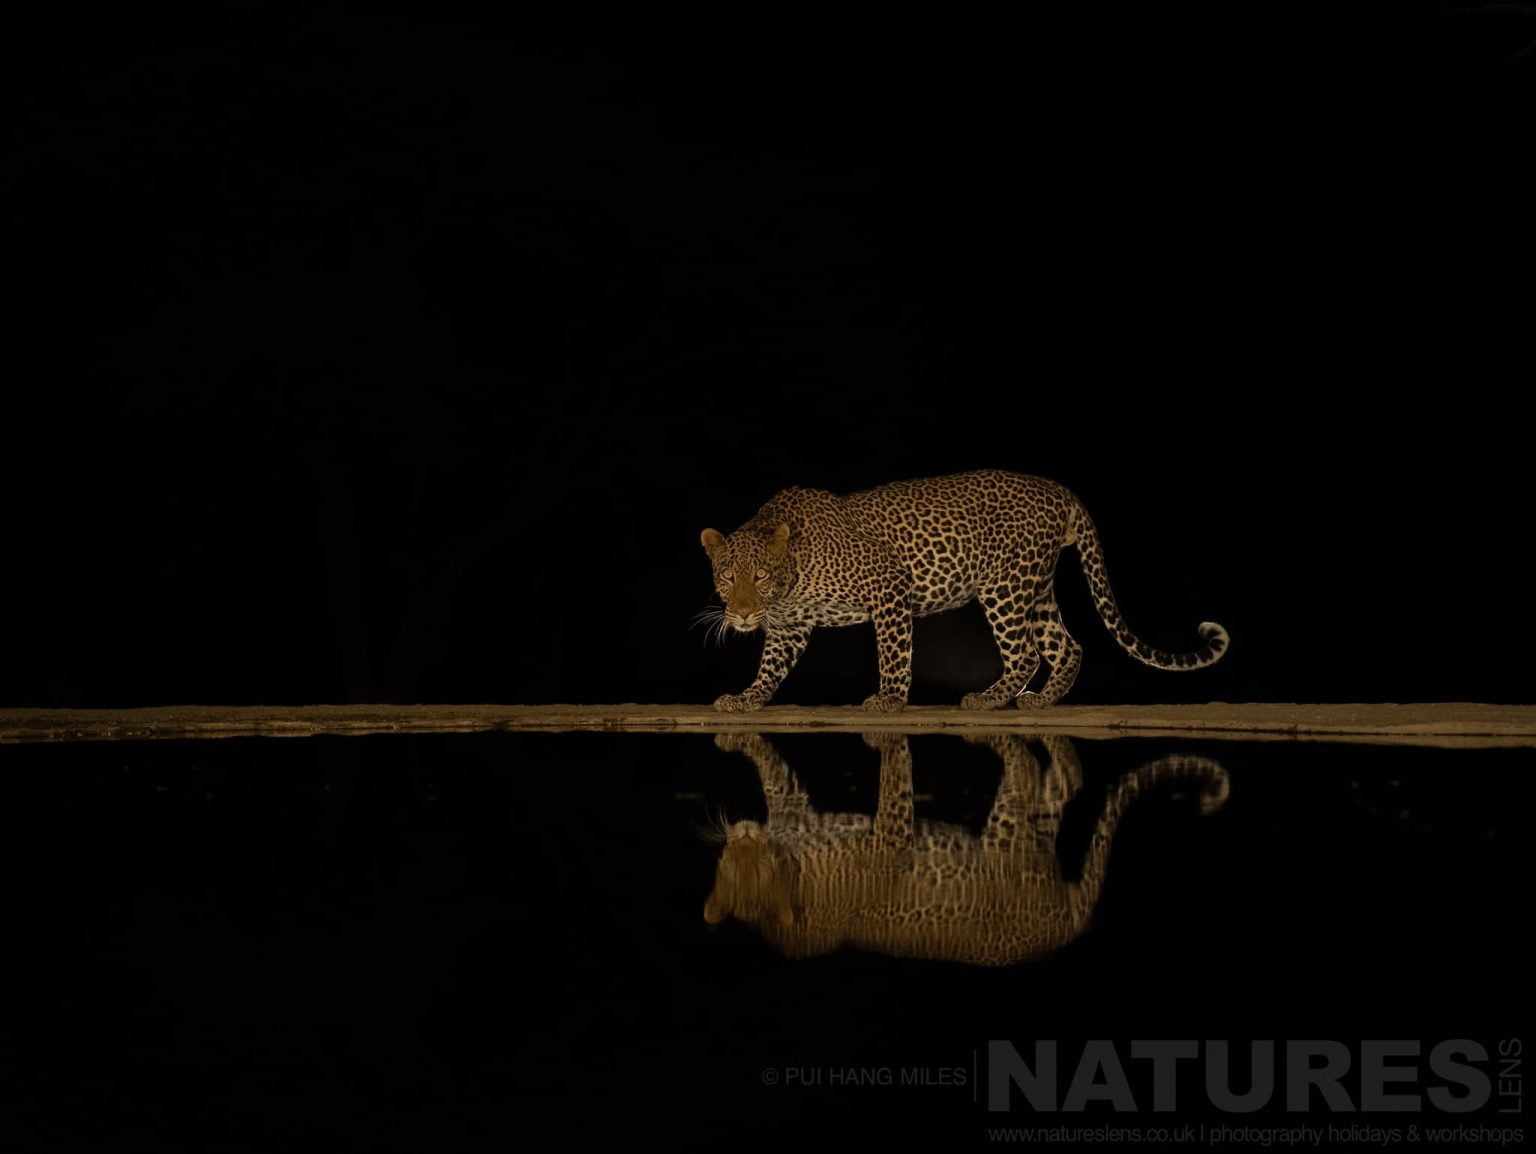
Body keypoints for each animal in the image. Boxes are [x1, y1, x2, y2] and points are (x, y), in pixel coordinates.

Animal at [699, 469, 1228, 712]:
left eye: (759, 576)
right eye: (727, 577)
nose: (741, 615)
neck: (792, 575)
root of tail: (1061, 491)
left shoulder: (889, 589)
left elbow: (894, 654)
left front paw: (889, 700)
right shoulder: (789, 625)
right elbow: (770, 667)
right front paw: (746, 699)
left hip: (1005, 586)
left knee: (1026, 653)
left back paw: (989, 698)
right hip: (1036, 589)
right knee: (1068, 646)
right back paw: (1043, 700)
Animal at [702, 731, 1230, 965]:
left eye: (763, 869)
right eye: (728, 864)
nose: (744, 835)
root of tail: (1066, 929)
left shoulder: (871, 836)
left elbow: (891, 787)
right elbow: (774, 772)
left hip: (1008, 838)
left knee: (1033, 775)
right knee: (1060, 790)